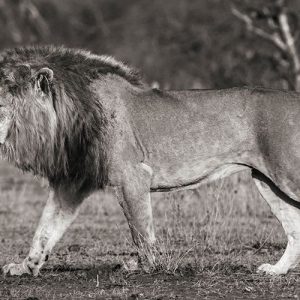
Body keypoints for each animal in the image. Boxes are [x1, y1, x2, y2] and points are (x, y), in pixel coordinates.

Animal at [0, 45, 300, 278]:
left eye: (1, 105)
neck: (67, 116)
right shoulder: (73, 182)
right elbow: (45, 229)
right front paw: (26, 267)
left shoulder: (132, 176)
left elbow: (140, 231)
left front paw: (147, 267)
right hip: (267, 181)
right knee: (295, 229)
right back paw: (276, 270)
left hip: (287, 174)